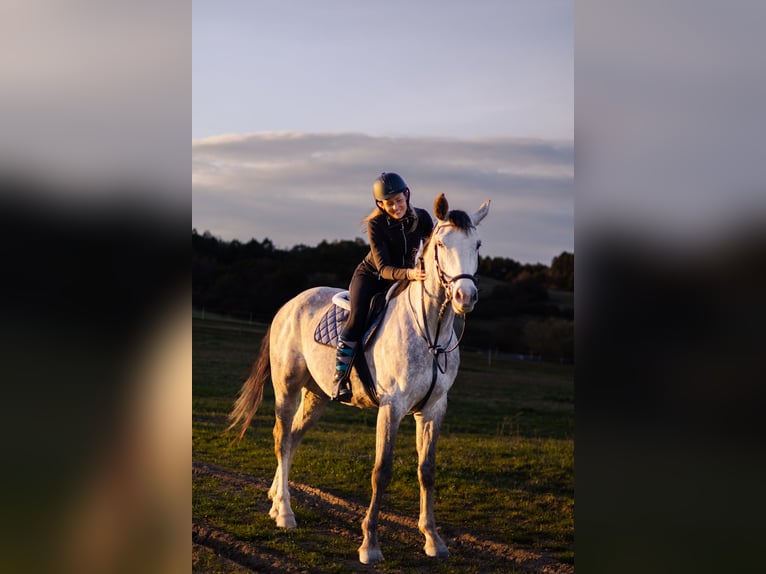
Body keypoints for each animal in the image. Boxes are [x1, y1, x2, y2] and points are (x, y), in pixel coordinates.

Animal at [228, 193, 490, 564]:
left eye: (477, 244)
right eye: (441, 243)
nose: (464, 297)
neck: (430, 334)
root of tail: (289, 305)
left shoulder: (433, 410)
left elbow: (427, 471)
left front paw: (433, 540)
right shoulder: (391, 408)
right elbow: (382, 471)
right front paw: (370, 544)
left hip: (316, 396)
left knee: (292, 438)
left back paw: (276, 500)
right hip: (287, 388)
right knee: (281, 438)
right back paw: (286, 514)